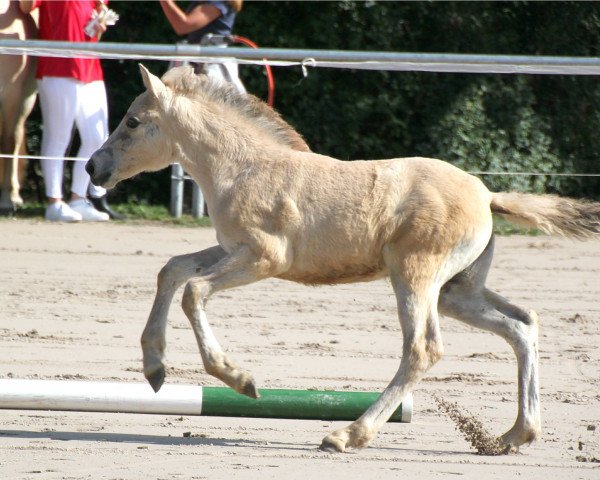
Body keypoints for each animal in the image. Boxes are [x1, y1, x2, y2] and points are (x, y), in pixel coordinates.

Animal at [85, 64, 600, 454]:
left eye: (132, 122)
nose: (93, 167)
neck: (244, 168)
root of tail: (488, 195)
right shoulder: (231, 250)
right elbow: (171, 269)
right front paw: (154, 368)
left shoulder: (264, 258)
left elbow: (193, 292)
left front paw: (240, 379)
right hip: (456, 291)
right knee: (521, 324)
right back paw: (515, 434)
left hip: (415, 276)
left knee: (423, 349)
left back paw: (348, 434)